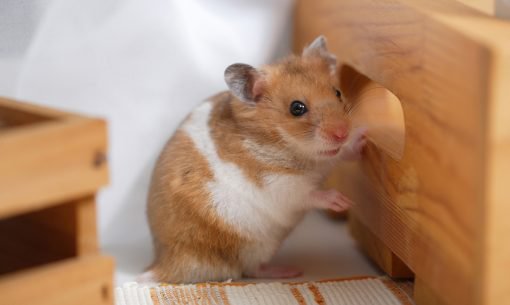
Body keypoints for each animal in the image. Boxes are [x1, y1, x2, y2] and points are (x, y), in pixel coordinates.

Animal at [144, 35, 366, 282]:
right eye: (297, 108)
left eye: (337, 92)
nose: (342, 132)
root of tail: (164, 264)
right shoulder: (279, 185)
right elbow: (308, 193)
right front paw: (343, 201)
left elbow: (342, 153)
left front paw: (363, 141)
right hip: (251, 246)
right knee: (251, 269)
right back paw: (290, 271)